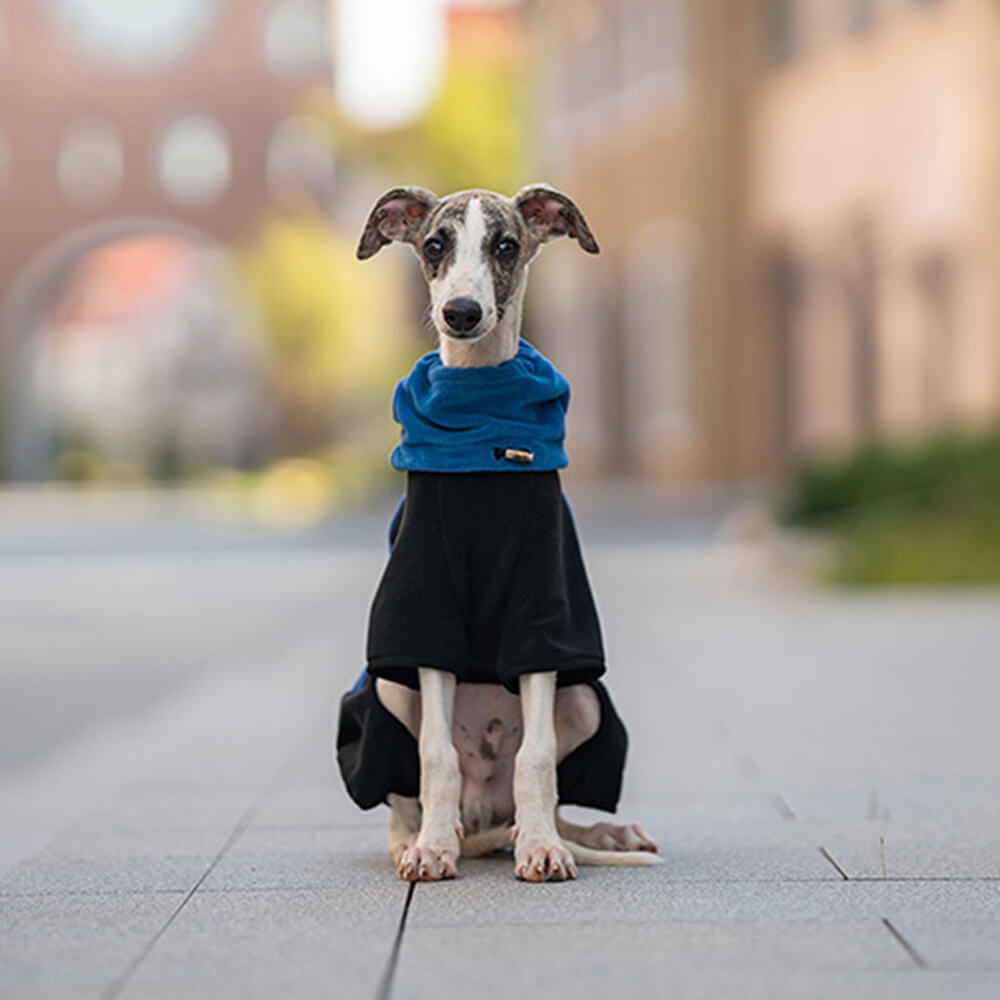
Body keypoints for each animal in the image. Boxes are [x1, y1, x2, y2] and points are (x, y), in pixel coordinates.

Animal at [340, 184, 660, 880]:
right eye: (435, 244)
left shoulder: (542, 605)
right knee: (411, 796)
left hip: (585, 700)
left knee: (542, 787)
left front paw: (543, 849)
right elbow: (436, 754)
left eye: (507, 245)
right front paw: (433, 848)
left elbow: (535, 755)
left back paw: (582, 833)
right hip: (389, 688)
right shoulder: (424, 607)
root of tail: (486, 811)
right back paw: (424, 836)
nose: (461, 313)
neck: (480, 412)